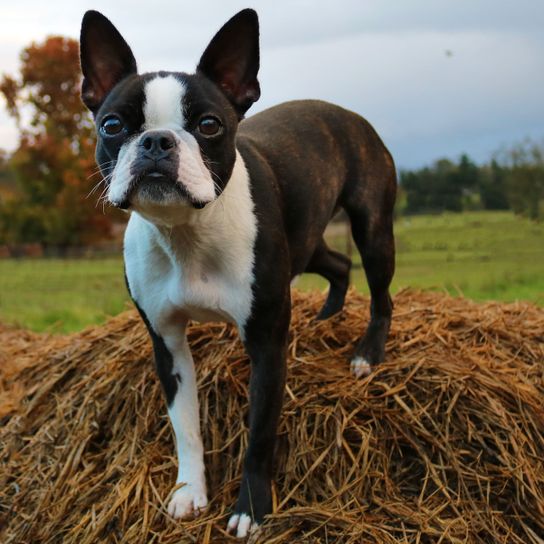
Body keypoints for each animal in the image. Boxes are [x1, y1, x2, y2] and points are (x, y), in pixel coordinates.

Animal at [79, 9, 396, 540]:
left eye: (209, 125)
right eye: (112, 124)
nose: (157, 141)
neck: (186, 233)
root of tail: (344, 112)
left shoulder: (267, 344)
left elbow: (260, 434)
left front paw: (251, 508)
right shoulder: (167, 345)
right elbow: (185, 427)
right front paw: (190, 492)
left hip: (373, 228)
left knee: (381, 292)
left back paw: (366, 354)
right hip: (303, 244)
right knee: (338, 263)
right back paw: (327, 317)